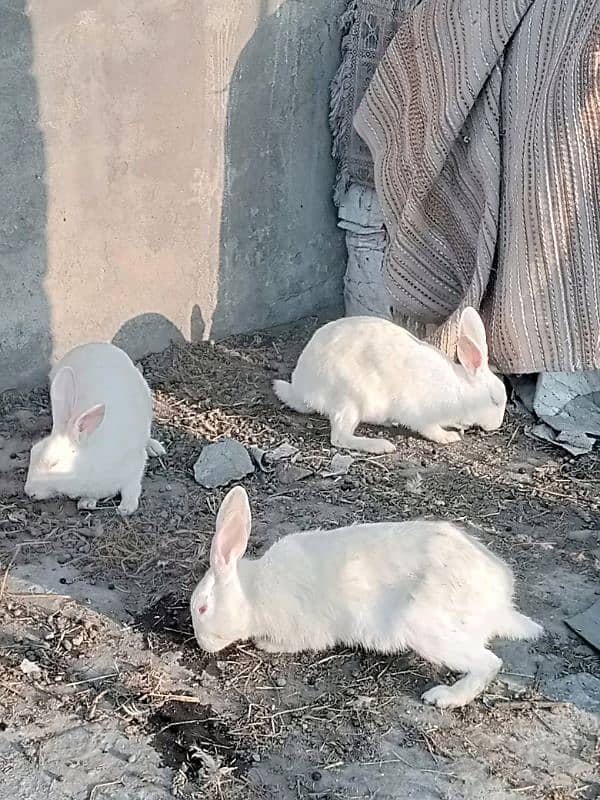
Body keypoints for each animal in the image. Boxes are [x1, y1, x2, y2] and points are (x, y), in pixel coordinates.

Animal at [24, 340, 164, 516]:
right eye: (33, 452)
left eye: (54, 464)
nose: (28, 491)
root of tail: (95, 345)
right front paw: (87, 502)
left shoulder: (135, 464)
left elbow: (131, 487)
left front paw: (126, 508)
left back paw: (154, 447)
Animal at [190, 488, 540, 708]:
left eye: (203, 608)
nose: (201, 644)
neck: (251, 593)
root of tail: (498, 603)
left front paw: (265, 645)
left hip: (429, 629)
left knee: (489, 663)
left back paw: (444, 698)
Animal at [274, 308, 506, 454]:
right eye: (494, 400)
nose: (497, 425)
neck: (461, 391)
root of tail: (302, 388)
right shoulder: (420, 413)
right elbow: (429, 429)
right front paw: (448, 437)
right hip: (350, 399)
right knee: (339, 437)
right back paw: (381, 446)